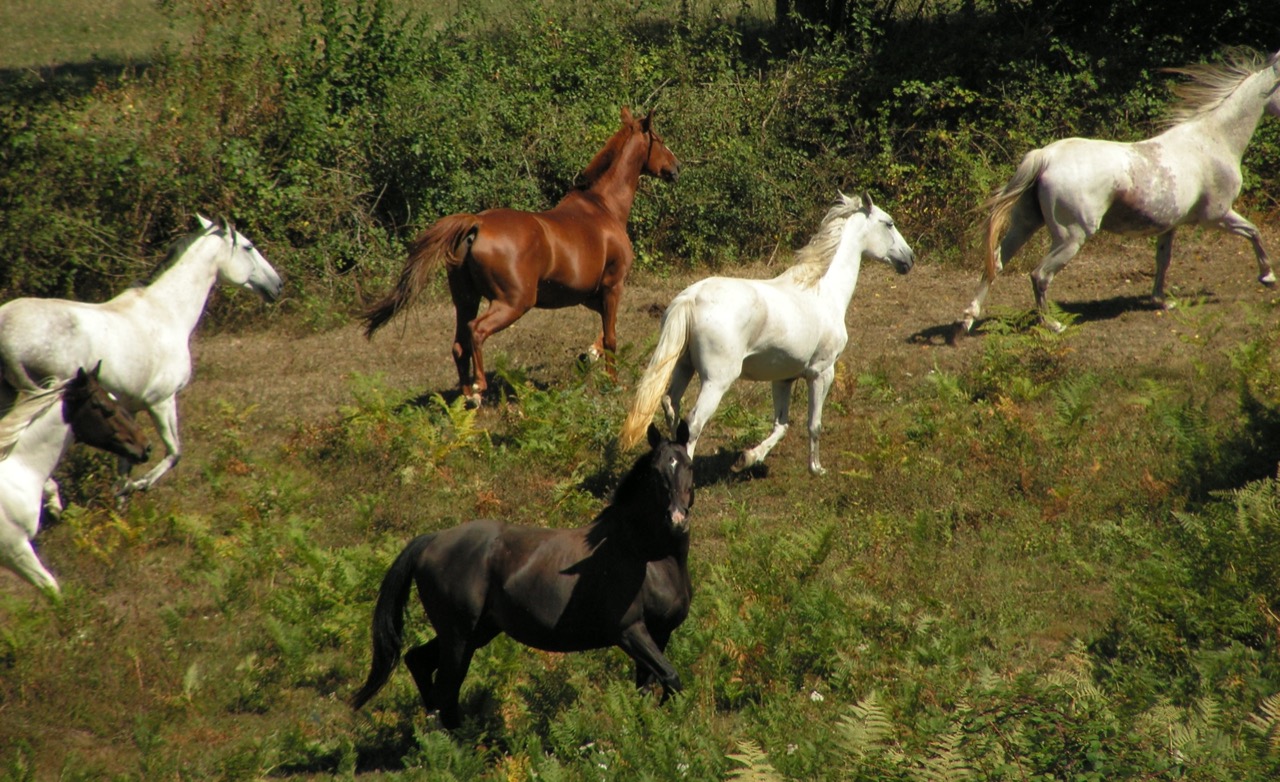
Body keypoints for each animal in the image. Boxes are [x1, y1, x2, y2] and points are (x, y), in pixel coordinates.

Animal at [0, 213, 280, 496]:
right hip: (37, 394)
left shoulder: (129, 408)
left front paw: (120, 494)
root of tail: (5, 320)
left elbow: (126, 463)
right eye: (248, 247)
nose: (277, 285)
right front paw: (138, 486)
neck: (167, 312)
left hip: (8, 394)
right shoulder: (162, 401)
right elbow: (174, 453)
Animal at [350, 422, 696, 726]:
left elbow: (649, 688)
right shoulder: (629, 631)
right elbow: (671, 679)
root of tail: (432, 540)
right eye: (656, 472)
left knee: (419, 664)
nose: (677, 519)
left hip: (475, 634)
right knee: (445, 692)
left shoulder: (659, 632)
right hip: (458, 639)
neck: (644, 555)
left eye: (688, 466)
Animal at [360, 105, 680, 404]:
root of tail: (477, 223)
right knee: (476, 331)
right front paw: (613, 384)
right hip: (513, 302)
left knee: (459, 344)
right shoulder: (613, 286)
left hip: (466, 299)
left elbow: (604, 333)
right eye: (660, 140)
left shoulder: (589, 295)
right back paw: (478, 388)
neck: (603, 208)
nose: (676, 168)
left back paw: (466, 397)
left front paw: (588, 354)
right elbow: (612, 337)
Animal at [616, 194, 911, 476]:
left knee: (671, 407)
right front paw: (816, 469)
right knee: (694, 423)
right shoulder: (822, 372)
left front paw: (746, 459)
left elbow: (781, 425)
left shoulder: (783, 379)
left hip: (683, 368)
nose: (909, 259)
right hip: (715, 382)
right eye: (889, 223)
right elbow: (813, 424)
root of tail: (692, 297)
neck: (822, 291)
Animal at [962, 45, 1280, 332]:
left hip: (1025, 224)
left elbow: (1163, 260)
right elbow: (1254, 232)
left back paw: (967, 319)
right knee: (1039, 275)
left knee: (996, 263)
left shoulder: (1169, 226)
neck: (1212, 140)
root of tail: (1046, 156)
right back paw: (1052, 324)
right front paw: (1267, 277)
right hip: (1071, 237)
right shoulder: (1217, 215)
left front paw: (1161, 301)